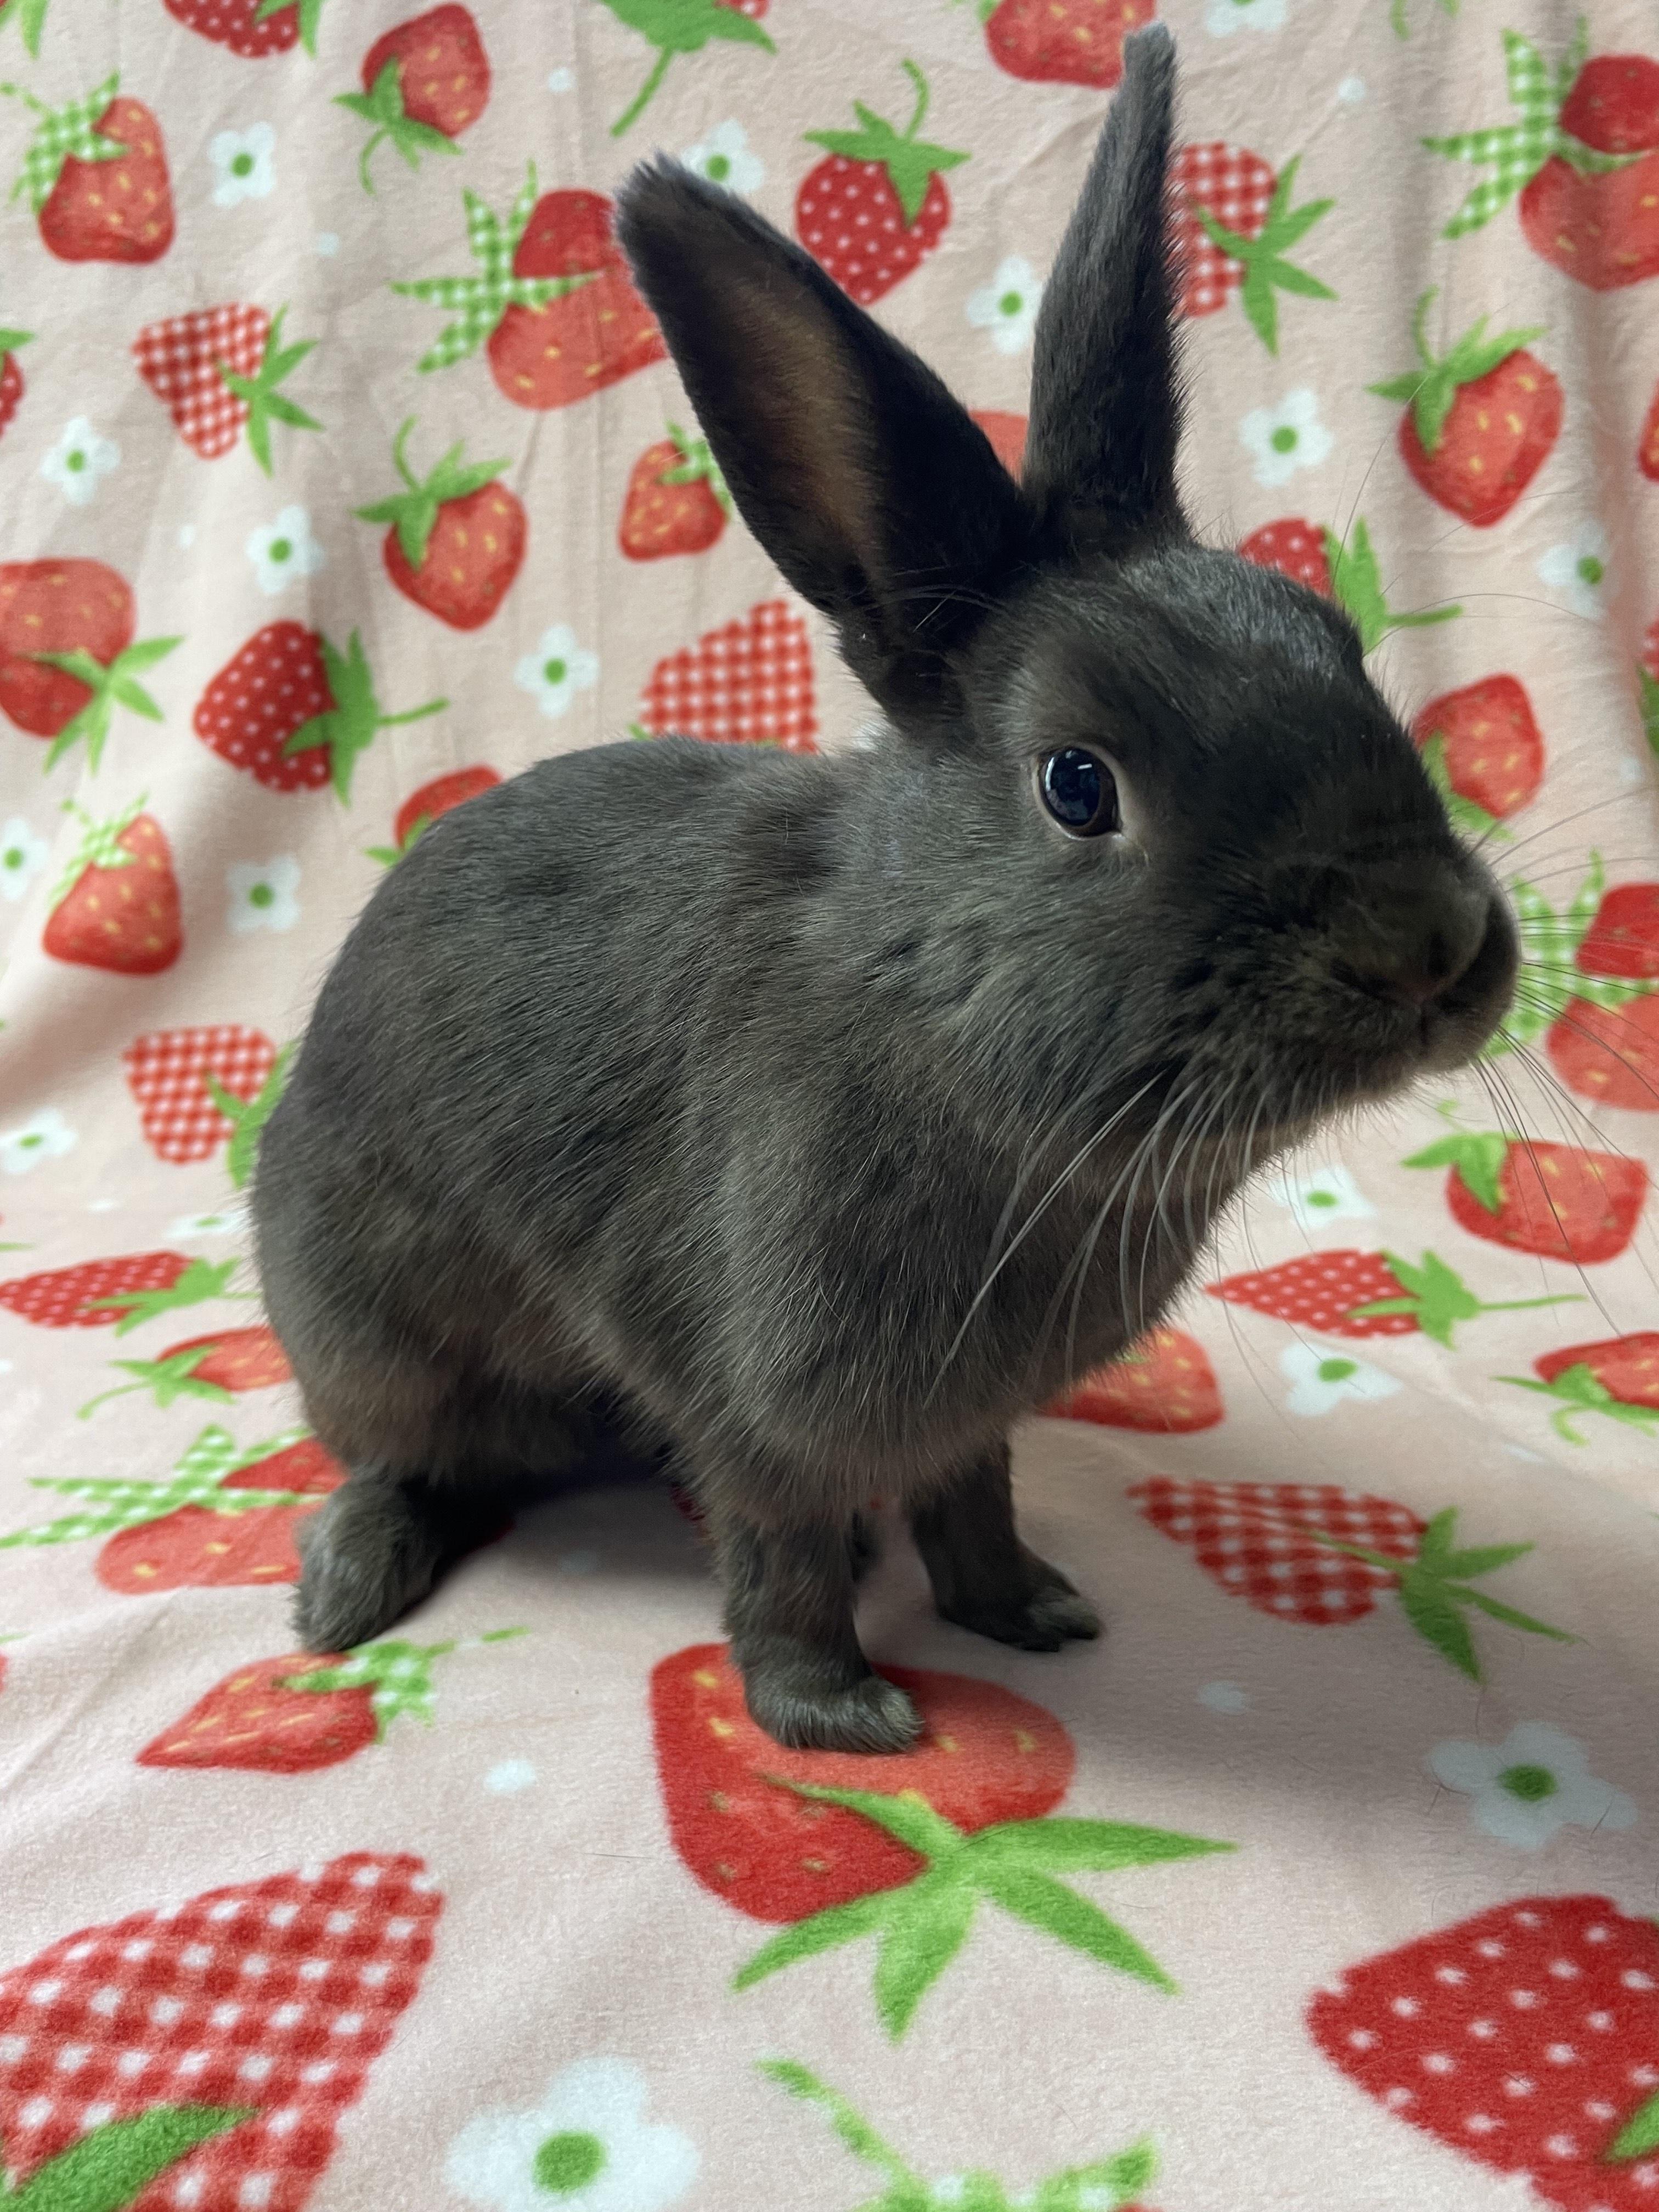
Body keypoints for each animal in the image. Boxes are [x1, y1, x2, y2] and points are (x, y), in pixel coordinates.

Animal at [253, 25, 1518, 1754]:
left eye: (1335, 638)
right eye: (1078, 784)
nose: (1432, 945)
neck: (920, 1004)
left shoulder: (962, 1415)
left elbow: (973, 1500)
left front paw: (1031, 1613)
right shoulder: (762, 1402)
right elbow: (780, 1558)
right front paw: (840, 1721)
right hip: (370, 1334)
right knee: (404, 1457)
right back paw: (344, 1595)